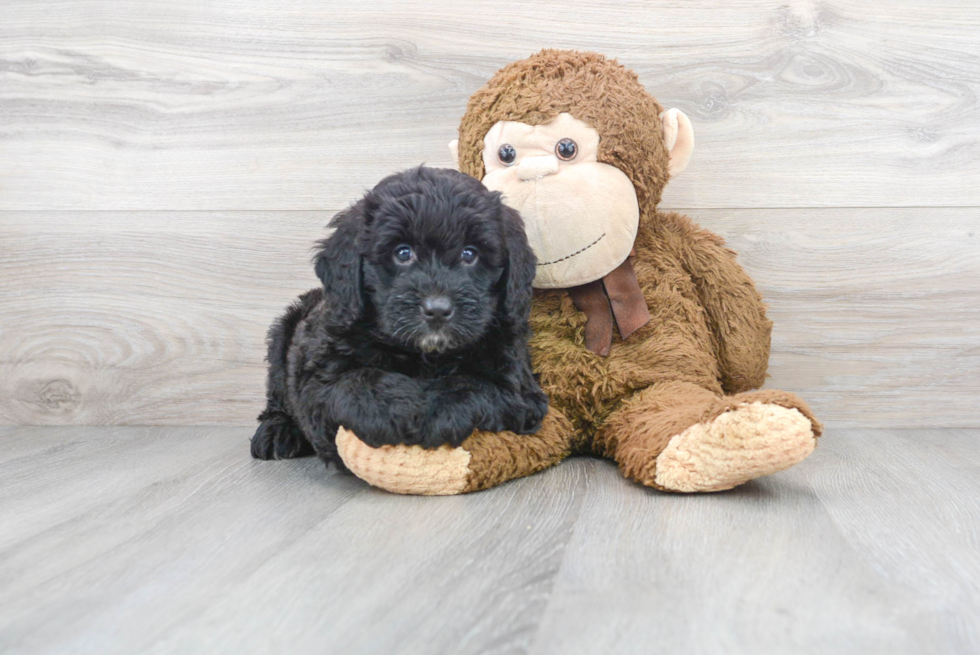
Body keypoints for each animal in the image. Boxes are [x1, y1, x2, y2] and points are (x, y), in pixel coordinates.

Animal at [249, 169, 548, 466]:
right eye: (403, 253)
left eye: (469, 254)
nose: (437, 309)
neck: (426, 354)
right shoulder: (319, 375)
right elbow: (354, 382)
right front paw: (394, 411)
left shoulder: (520, 389)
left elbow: (472, 386)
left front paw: (435, 415)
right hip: (283, 334)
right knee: (277, 392)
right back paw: (276, 431)